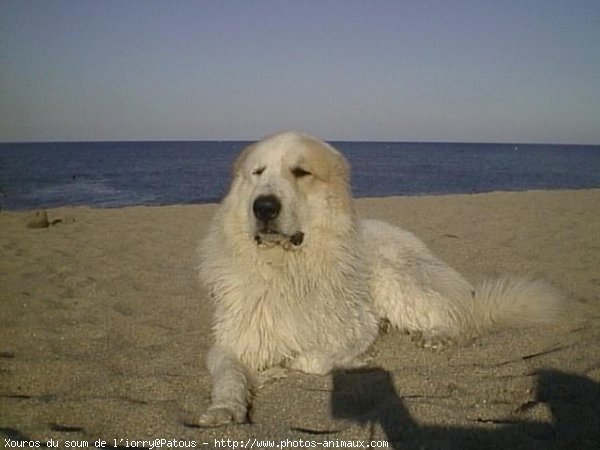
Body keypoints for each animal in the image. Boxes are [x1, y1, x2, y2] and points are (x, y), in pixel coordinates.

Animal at [196, 130, 564, 426]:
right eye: (257, 173)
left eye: (301, 172)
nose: (264, 207)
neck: (286, 268)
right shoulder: (231, 342)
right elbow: (229, 375)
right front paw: (225, 408)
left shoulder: (353, 329)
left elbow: (312, 359)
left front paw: (303, 365)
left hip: (394, 277)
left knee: (456, 316)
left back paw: (435, 335)